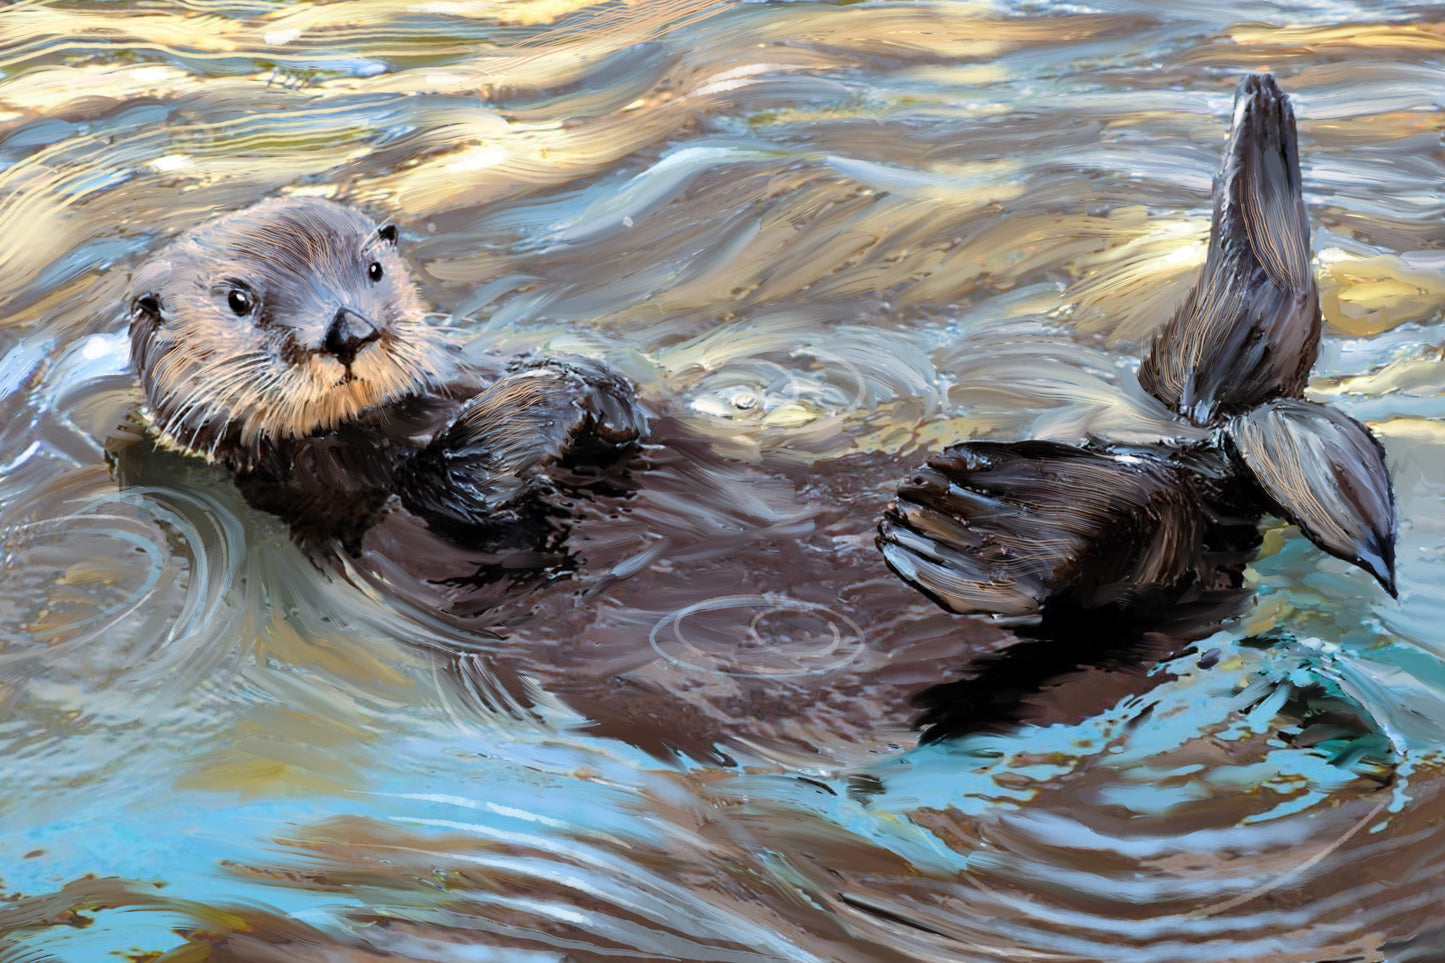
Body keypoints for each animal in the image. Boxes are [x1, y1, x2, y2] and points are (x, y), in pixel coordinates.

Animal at [127, 196, 647, 546]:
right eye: (238, 300)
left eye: (374, 270)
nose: (349, 331)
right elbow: (459, 485)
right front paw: (545, 396)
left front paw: (589, 383)